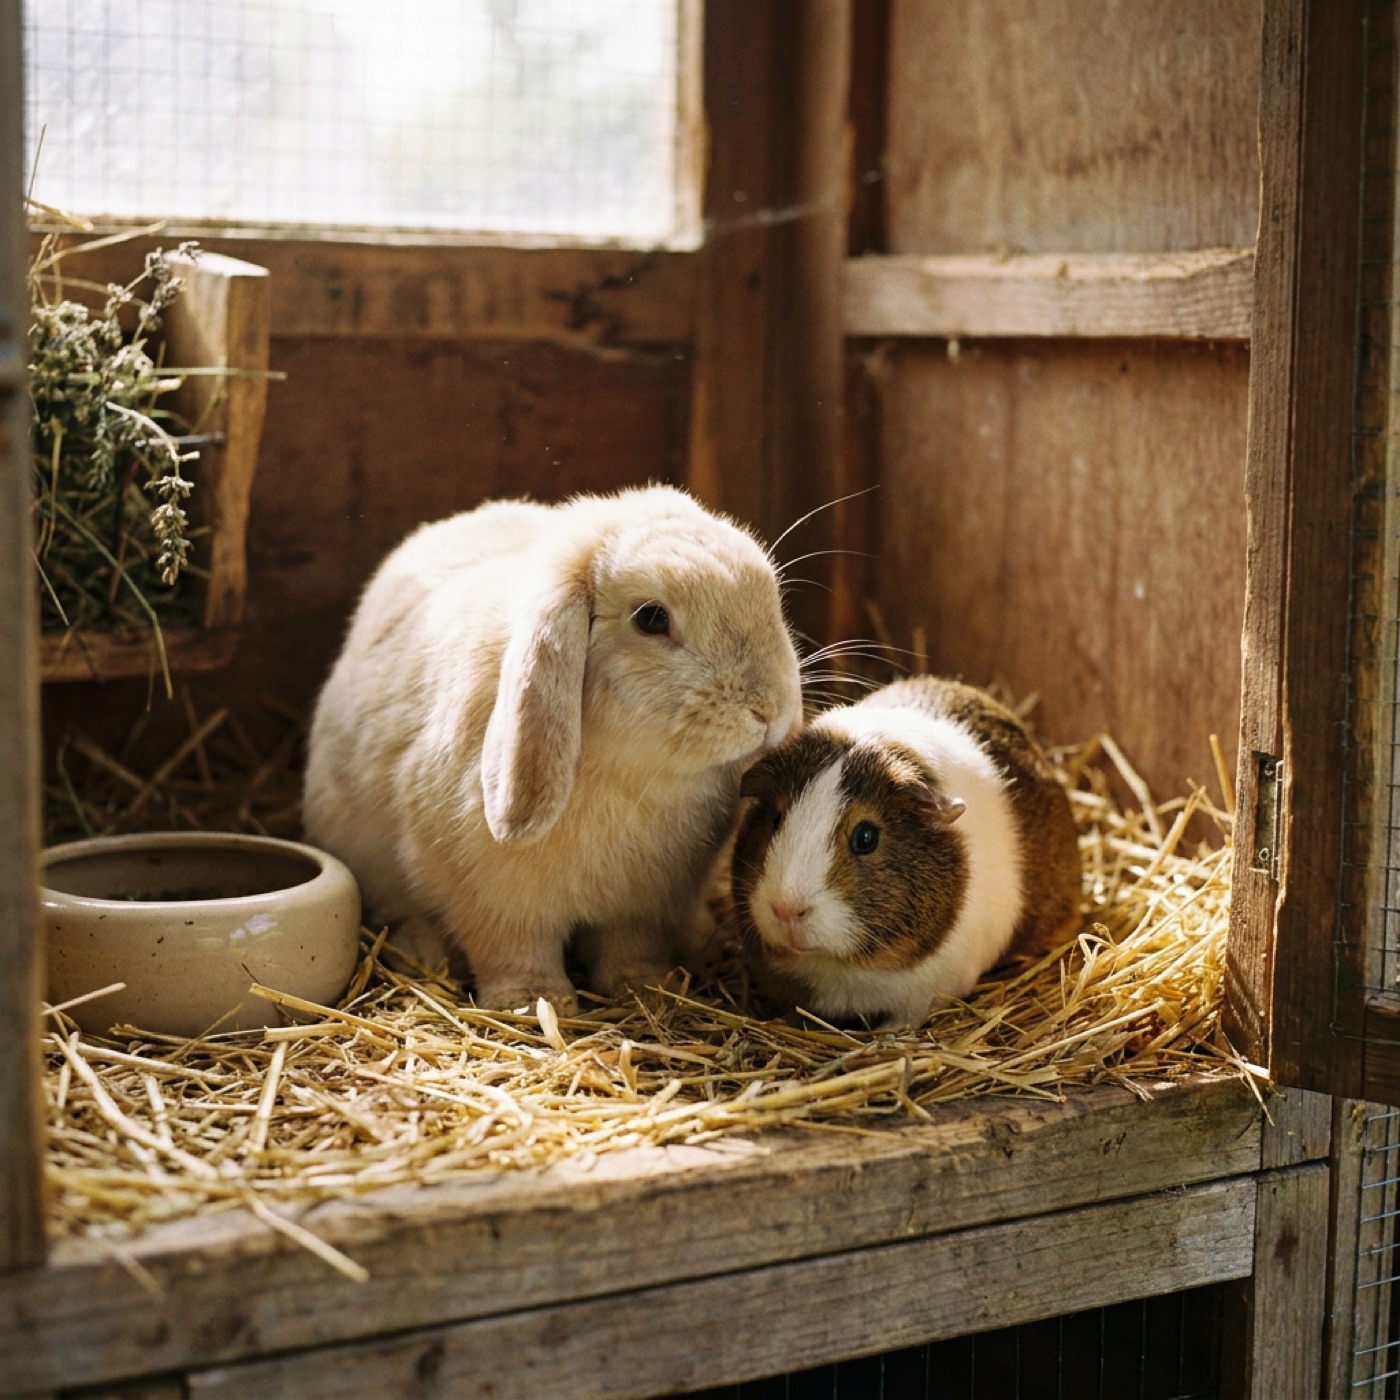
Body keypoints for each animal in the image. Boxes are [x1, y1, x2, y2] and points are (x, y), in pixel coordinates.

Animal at [303, 484, 803, 1012]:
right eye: (651, 619)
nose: (770, 709)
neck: (634, 777)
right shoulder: (495, 898)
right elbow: (514, 949)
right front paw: (533, 1001)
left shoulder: (644, 906)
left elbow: (630, 946)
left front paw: (645, 988)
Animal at [731, 676, 1081, 1029]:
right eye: (776, 819)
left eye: (866, 837)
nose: (787, 909)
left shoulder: (925, 993)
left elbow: (905, 1020)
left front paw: (888, 1034)